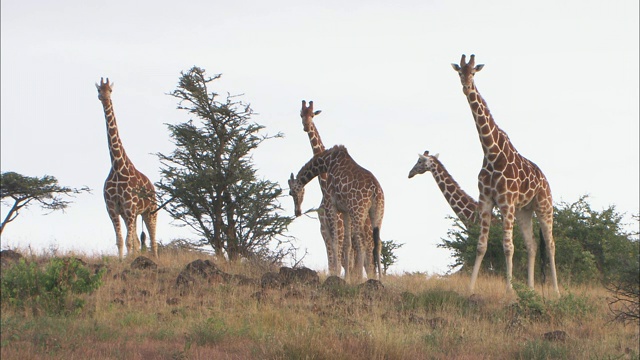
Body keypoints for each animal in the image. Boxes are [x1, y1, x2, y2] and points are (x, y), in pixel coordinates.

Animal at [96, 77, 159, 260]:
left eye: (110, 90)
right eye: (99, 90)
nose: (104, 98)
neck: (117, 167)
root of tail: (152, 187)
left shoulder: (130, 207)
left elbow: (129, 241)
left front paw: (128, 261)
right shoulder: (113, 208)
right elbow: (121, 241)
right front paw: (121, 261)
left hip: (150, 211)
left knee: (153, 241)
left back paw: (155, 259)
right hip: (132, 214)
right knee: (139, 240)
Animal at [290, 144, 384, 282]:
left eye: (291, 193)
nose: (297, 211)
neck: (327, 161)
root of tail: (375, 190)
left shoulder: (331, 205)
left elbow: (335, 242)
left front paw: (337, 276)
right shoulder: (345, 210)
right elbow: (346, 244)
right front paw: (347, 278)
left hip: (358, 212)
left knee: (362, 243)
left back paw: (361, 278)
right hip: (378, 213)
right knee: (377, 243)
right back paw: (381, 278)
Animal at [298, 100, 376, 278]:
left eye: (312, 114)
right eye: (301, 114)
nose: (306, 126)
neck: (324, 185)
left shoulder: (338, 230)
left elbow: (338, 263)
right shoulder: (324, 230)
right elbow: (332, 265)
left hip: (366, 236)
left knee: (368, 263)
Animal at [450, 54, 560, 296]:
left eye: (474, 72)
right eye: (460, 72)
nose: (466, 86)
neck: (491, 152)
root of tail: (545, 180)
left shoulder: (506, 201)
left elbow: (508, 246)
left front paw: (509, 290)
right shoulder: (486, 200)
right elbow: (481, 245)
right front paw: (470, 288)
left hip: (544, 206)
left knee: (550, 244)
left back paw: (557, 292)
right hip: (524, 211)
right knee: (532, 245)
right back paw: (530, 288)